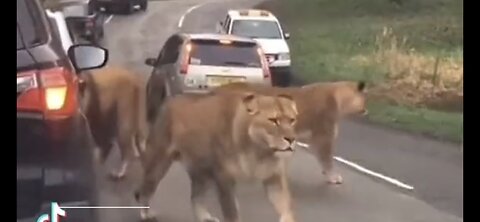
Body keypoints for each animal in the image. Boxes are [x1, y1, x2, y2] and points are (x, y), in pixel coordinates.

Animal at [135, 91, 298, 222]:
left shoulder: (274, 179)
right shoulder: (224, 178)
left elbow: (285, 207)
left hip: (203, 173)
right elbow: (232, 213)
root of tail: (168, 101)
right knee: (144, 189)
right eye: (274, 121)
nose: (291, 139)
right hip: (157, 164)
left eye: (292, 120)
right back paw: (146, 214)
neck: (260, 152)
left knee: (195, 197)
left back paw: (205, 218)